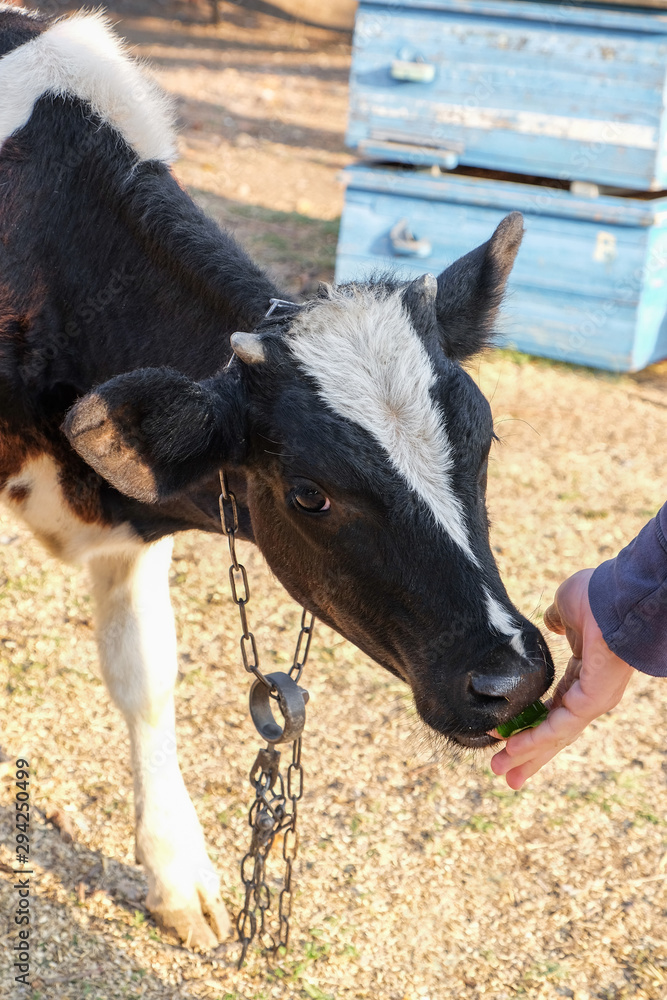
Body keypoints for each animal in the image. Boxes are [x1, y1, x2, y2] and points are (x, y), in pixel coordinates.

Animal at [0, 5, 552, 944]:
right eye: (308, 494)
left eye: (481, 441)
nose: (508, 679)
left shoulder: (128, 531)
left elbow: (145, 679)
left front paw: (178, 876)